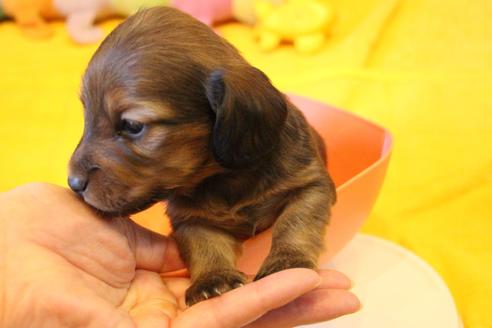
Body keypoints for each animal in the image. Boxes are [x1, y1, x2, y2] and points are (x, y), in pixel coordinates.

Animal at [69, 6, 336, 306]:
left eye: (133, 125)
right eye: (87, 115)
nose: (74, 183)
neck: (221, 179)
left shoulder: (310, 184)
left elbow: (295, 222)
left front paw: (287, 260)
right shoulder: (190, 218)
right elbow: (205, 245)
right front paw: (213, 279)